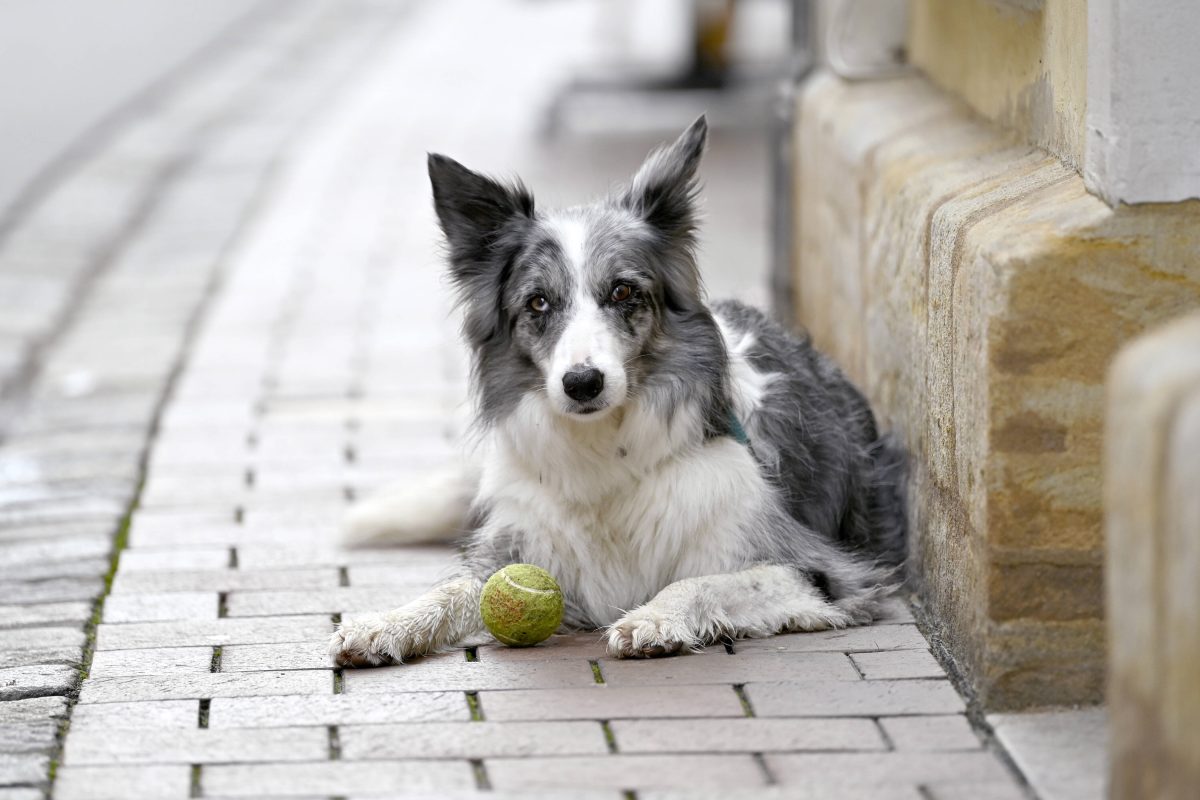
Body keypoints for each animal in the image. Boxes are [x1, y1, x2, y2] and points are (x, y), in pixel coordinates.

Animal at [324, 115, 902, 666]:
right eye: (538, 302)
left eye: (623, 291)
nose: (582, 383)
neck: (608, 452)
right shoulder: (527, 545)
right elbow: (456, 588)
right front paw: (388, 624)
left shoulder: (825, 571)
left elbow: (703, 581)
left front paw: (656, 617)